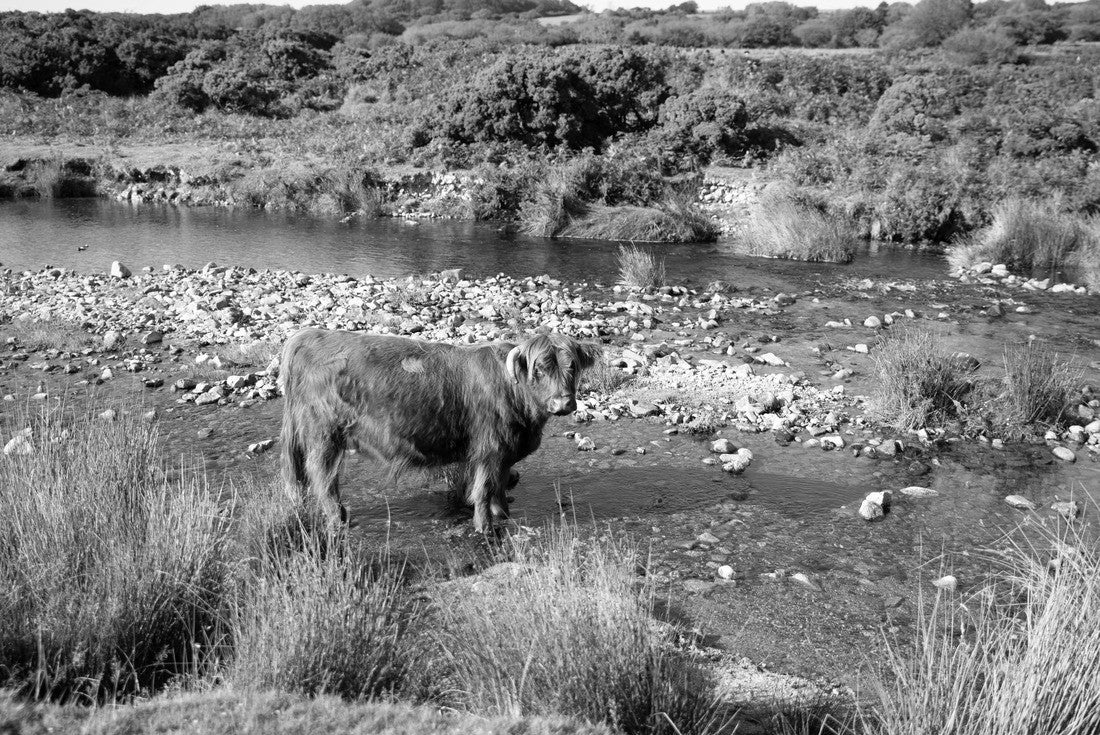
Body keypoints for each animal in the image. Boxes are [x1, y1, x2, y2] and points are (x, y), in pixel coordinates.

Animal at [279, 329, 601, 532]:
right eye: (540, 370)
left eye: (572, 367)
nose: (563, 403)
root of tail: (309, 336)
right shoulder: (488, 450)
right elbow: (483, 490)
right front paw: (484, 528)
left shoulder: (503, 454)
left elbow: (499, 486)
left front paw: (503, 516)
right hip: (323, 434)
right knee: (322, 477)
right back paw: (338, 520)